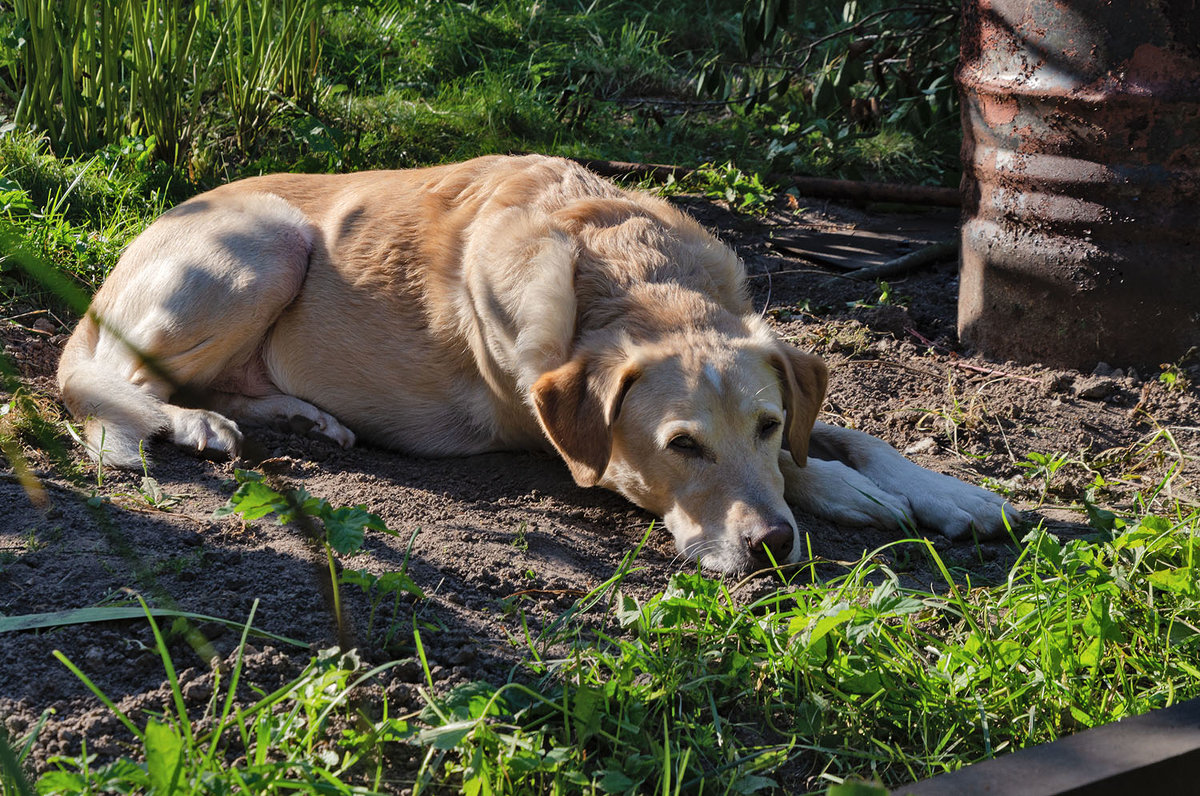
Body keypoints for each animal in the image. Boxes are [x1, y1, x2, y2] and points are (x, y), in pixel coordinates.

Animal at [56, 153, 1012, 573]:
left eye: (768, 422)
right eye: (682, 446)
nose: (774, 548)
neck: (625, 274)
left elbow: (846, 436)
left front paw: (950, 493)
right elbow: (814, 467)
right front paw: (848, 493)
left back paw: (304, 416)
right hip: (268, 241)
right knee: (122, 385)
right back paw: (193, 424)